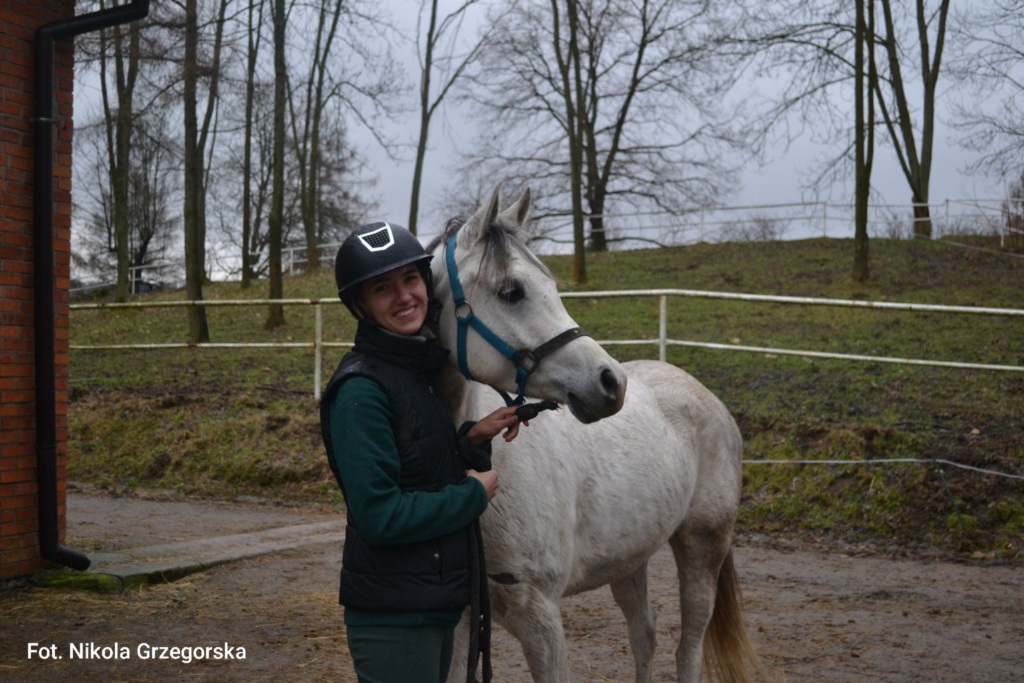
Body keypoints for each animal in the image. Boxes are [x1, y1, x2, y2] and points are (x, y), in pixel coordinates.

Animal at [425, 183, 761, 683]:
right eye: (511, 291)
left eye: (552, 287)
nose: (610, 382)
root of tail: (704, 395)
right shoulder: (462, 619)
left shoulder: (541, 619)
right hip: (630, 557)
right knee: (645, 634)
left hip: (703, 547)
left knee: (689, 647)